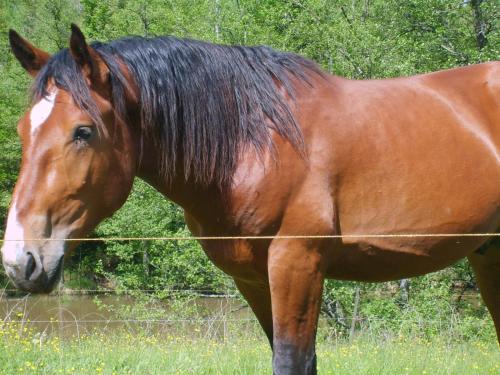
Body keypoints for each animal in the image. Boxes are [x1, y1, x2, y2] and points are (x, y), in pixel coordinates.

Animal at [1, 25, 498, 374]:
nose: (19, 260)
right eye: (24, 130)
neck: (253, 143)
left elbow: (292, 361)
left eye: (82, 132)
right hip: (488, 253)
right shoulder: (254, 279)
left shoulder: (298, 265)